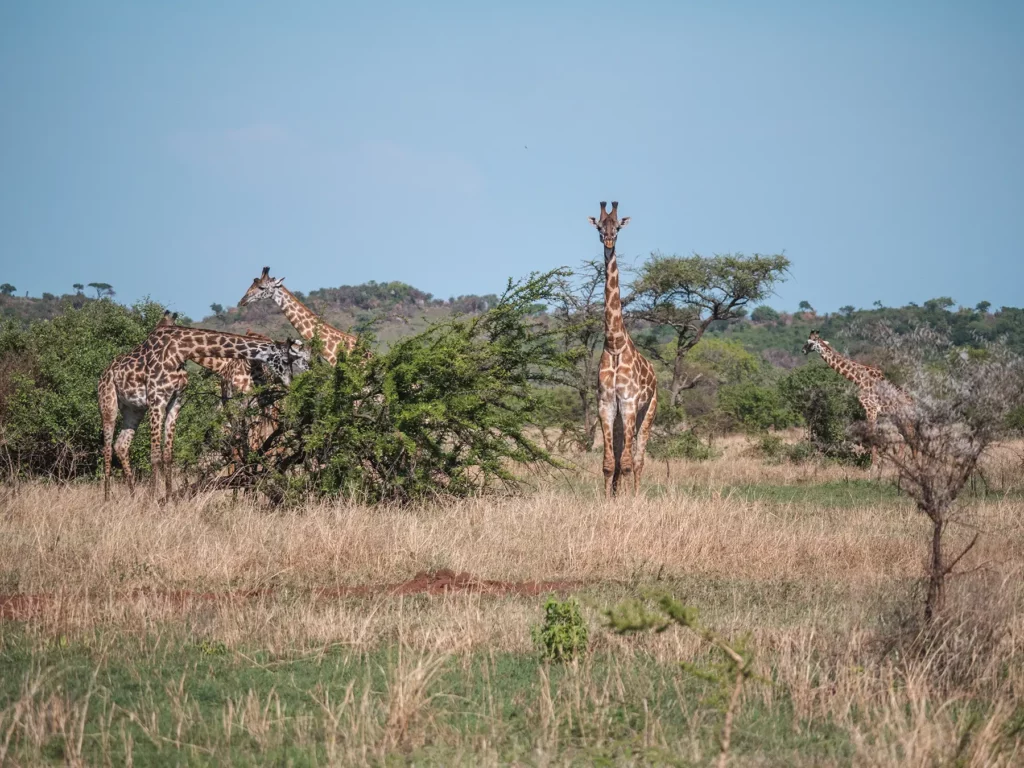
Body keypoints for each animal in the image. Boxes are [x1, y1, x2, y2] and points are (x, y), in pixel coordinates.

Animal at [99, 326, 309, 501]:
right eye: (285, 360)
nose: (289, 383)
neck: (181, 350)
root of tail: (103, 373)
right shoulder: (157, 399)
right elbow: (156, 455)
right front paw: (152, 501)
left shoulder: (176, 401)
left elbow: (168, 454)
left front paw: (168, 500)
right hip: (108, 404)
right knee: (107, 449)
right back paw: (108, 500)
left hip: (134, 409)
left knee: (121, 445)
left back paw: (133, 497)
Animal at [802, 330, 913, 465]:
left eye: (809, 342)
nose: (803, 350)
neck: (860, 380)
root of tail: (913, 401)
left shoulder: (871, 409)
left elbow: (872, 436)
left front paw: (873, 465)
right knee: (906, 437)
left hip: (904, 418)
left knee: (911, 437)